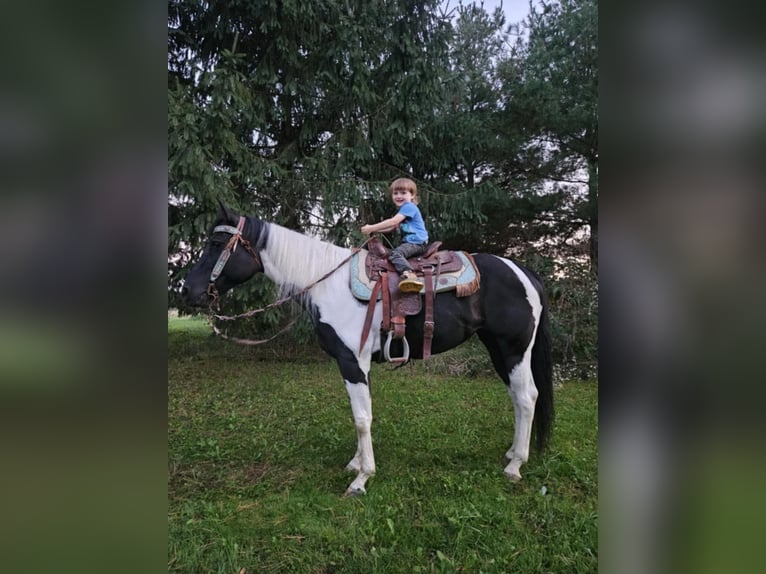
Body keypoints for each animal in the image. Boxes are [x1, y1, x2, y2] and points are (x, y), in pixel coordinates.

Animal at [181, 202, 554, 495]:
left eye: (216, 242)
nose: (188, 291)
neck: (328, 283)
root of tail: (524, 272)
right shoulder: (359, 364)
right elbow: (362, 414)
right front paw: (356, 463)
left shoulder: (351, 361)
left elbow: (361, 418)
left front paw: (362, 479)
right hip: (498, 349)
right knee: (518, 397)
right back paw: (512, 453)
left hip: (514, 349)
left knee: (526, 397)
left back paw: (515, 466)